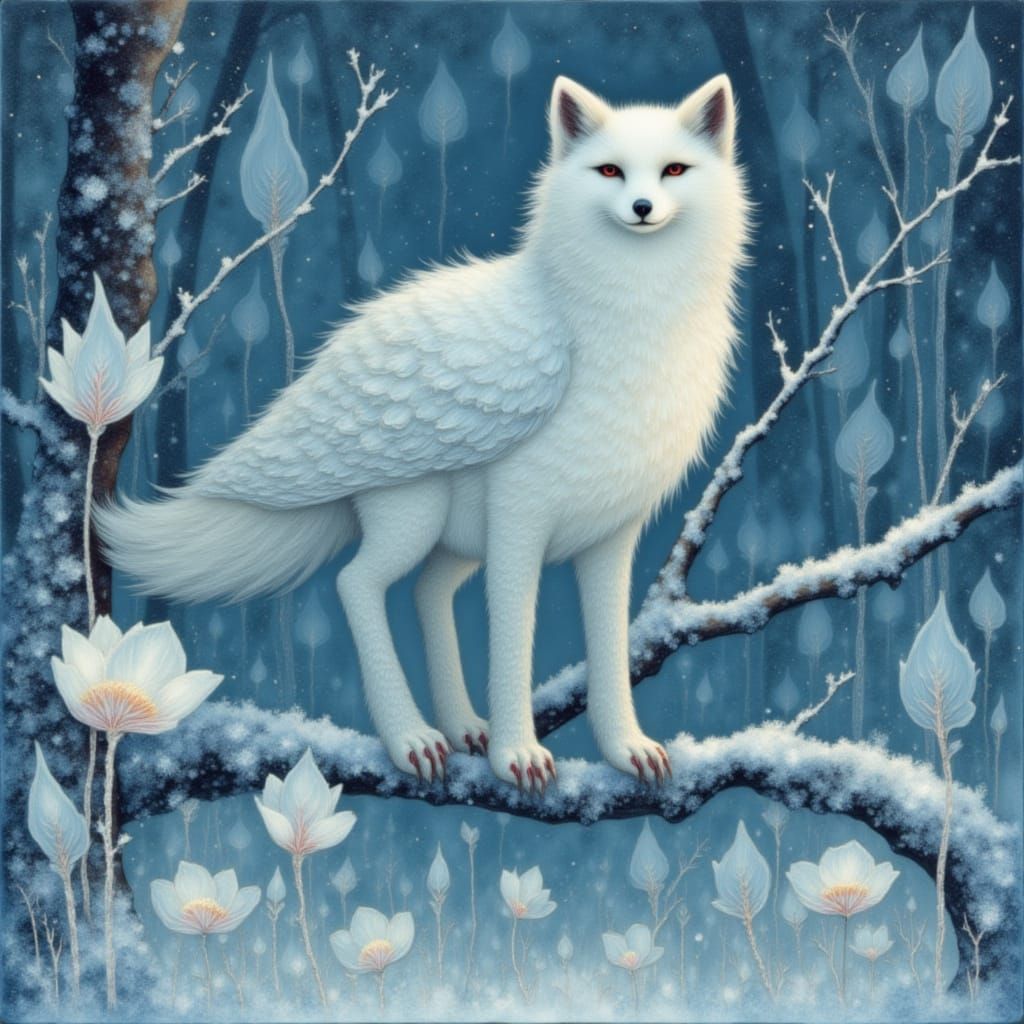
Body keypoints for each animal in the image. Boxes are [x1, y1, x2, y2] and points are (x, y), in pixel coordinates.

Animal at [96, 74, 750, 792]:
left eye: (674, 170)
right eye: (609, 170)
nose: (641, 206)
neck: (629, 323)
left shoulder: (613, 534)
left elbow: (607, 642)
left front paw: (624, 747)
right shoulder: (521, 515)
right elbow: (513, 633)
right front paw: (517, 754)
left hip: (451, 536)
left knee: (426, 590)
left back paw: (462, 726)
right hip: (413, 511)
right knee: (358, 585)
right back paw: (411, 737)